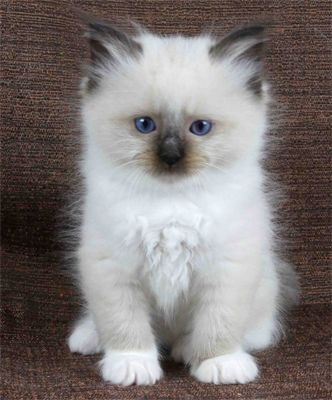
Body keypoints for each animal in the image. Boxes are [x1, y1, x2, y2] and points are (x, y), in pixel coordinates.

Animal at [67, 14, 298, 386]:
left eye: (200, 128)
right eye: (144, 124)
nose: (171, 157)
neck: (171, 205)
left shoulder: (228, 268)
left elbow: (219, 326)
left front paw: (219, 363)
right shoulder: (111, 265)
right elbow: (124, 325)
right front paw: (132, 366)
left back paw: (186, 349)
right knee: (103, 321)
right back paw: (89, 338)